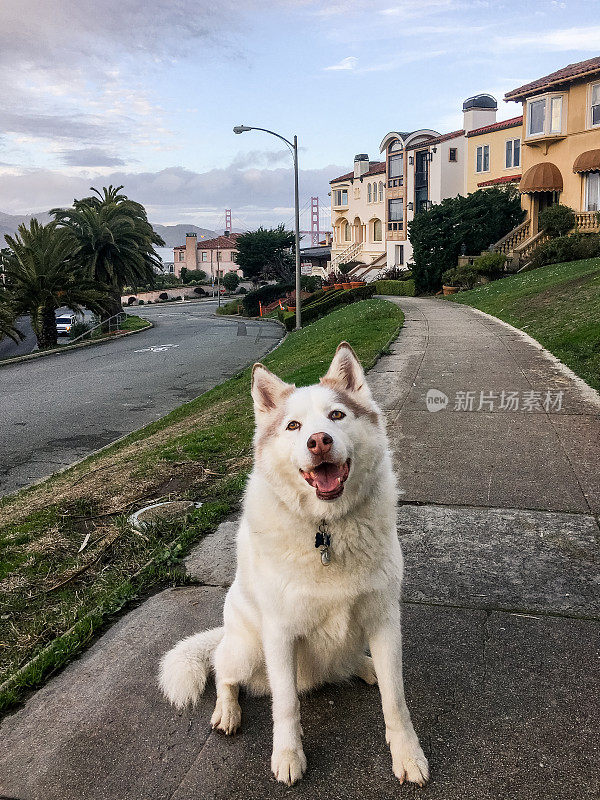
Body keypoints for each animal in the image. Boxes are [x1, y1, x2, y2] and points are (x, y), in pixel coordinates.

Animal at [159, 340, 428, 784]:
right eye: (293, 427)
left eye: (336, 415)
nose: (319, 441)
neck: (327, 529)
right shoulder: (281, 635)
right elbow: (285, 706)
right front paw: (287, 755)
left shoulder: (385, 620)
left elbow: (396, 700)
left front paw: (407, 754)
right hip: (247, 648)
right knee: (222, 671)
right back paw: (227, 711)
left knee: (345, 663)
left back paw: (365, 666)